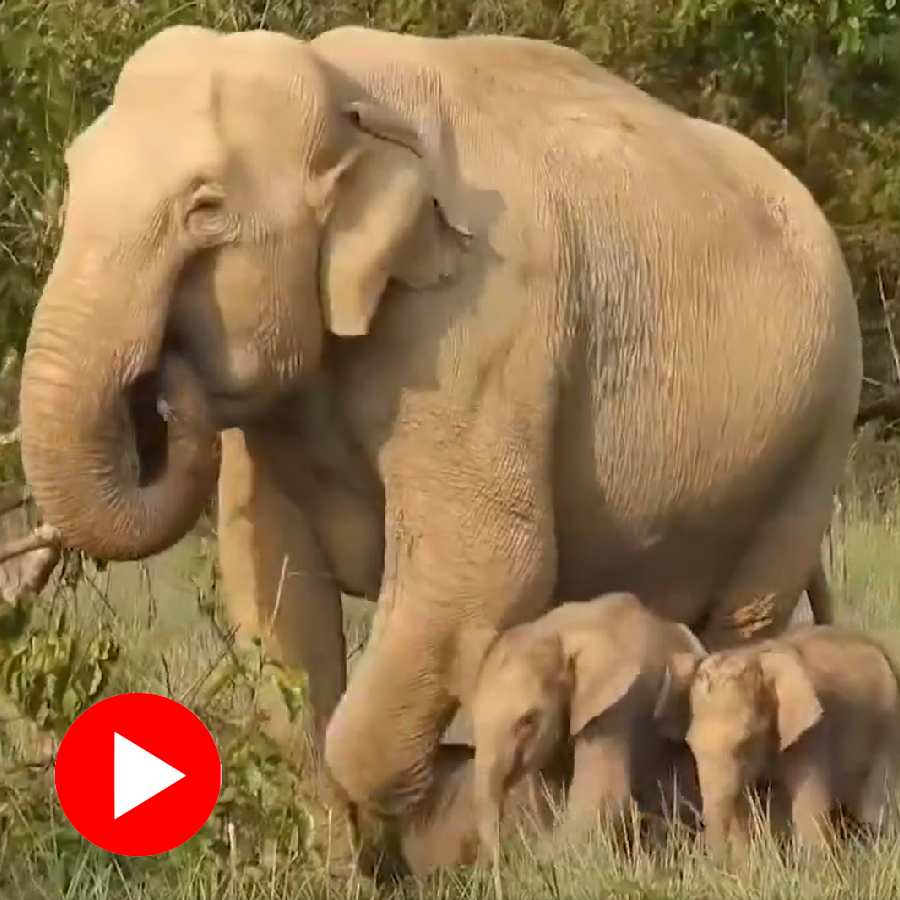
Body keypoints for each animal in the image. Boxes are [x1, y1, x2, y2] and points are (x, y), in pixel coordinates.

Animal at [470, 593, 707, 860]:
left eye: (527, 720)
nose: (502, 856)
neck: (559, 632)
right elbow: (548, 792)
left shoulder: (620, 705)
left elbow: (601, 797)